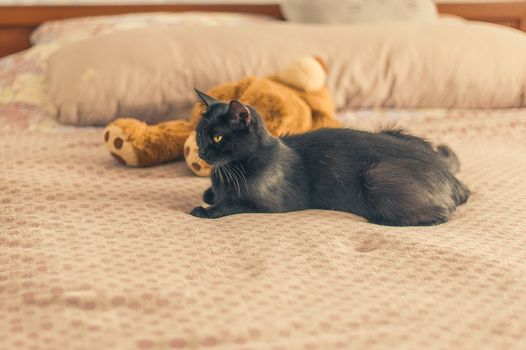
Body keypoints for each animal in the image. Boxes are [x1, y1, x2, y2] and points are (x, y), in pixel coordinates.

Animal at [192, 89, 472, 227]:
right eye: (200, 134)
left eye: (218, 137)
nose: (201, 152)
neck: (228, 170)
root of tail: (453, 179)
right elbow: (212, 194)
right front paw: (209, 196)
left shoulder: (268, 204)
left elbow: (231, 204)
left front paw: (205, 210)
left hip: (377, 174)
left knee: (440, 216)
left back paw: (379, 220)